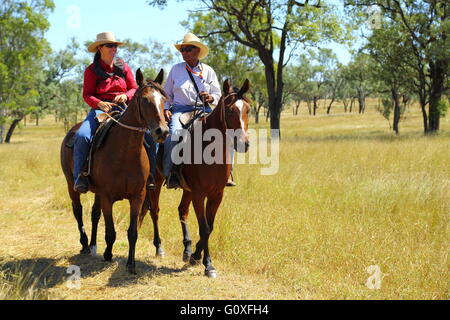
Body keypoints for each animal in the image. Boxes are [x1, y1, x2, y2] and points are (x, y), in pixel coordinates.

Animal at [60, 69, 170, 274]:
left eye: (163, 99)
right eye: (144, 100)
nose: (162, 131)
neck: (124, 152)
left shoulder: (138, 196)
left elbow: (132, 232)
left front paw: (131, 264)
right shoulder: (106, 196)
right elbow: (110, 232)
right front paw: (108, 254)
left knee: (94, 214)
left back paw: (93, 245)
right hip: (71, 185)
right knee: (78, 210)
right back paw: (85, 244)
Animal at [141, 78, 251, 278]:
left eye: (247, 109)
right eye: (230, 110)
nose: (243, 144)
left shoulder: (217, 194)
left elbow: (210, 226)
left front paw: (195, 255)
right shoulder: (200, 194)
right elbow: (205, 227)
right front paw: (208, 265)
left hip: (187, 190)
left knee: (182, 211)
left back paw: (187, 249)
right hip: (157, 183)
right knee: (155, 211)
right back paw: (159, 247)